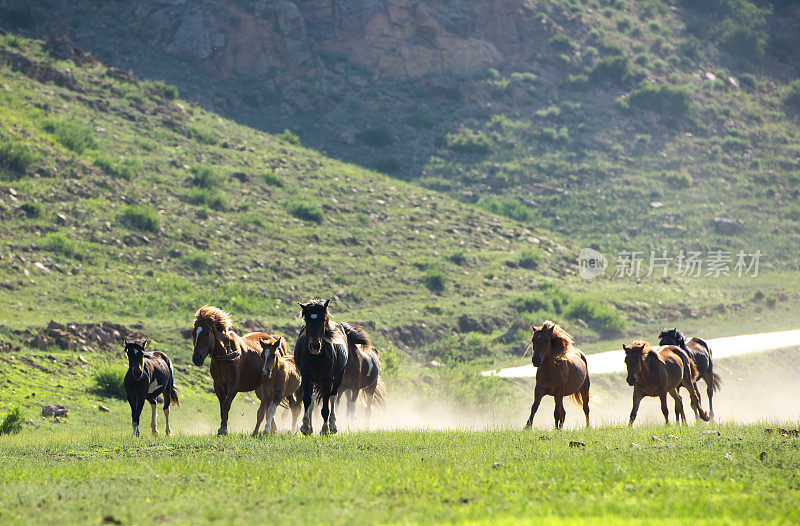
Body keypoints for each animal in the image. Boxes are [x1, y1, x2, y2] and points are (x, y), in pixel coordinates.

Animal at [192, 306, 290, 438]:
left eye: (207, 333)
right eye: (194, 332)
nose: (196, 358)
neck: (226, 356)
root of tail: (274, 340)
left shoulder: (233, 386)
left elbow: (226, 405)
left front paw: (223, 429)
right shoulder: (218, 386)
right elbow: (222, 407)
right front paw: (222, 427)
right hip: (261, 389)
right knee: (267, 405)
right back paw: (272, 429)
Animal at [294, 302, 368, 438]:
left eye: (323, 320)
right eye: (307, 320)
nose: (315, 346)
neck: (316, 356)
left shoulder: (327, 379)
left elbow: (326, 406)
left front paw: (325, 429)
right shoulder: (306, 376)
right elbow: (307, 400)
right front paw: (306, 427)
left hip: (338, 377)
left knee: (333, 397)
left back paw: (332, 425)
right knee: (313, 401)